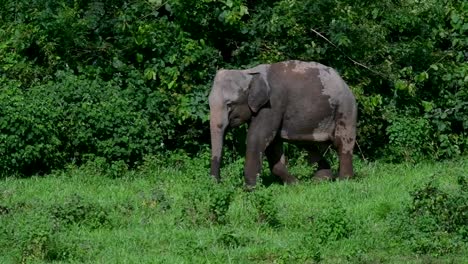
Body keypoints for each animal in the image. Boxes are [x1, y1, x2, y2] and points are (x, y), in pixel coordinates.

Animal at [209, 59, 358, 188]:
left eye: (229, 104)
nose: (218, 184)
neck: (249, 73)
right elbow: (272, 145)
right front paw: (295, 184)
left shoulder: (273, 103)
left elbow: (257, 138)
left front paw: (249, 189)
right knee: (308, 144)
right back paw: (320, 181)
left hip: (345, 109)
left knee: (341, 142)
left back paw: (344, 181)